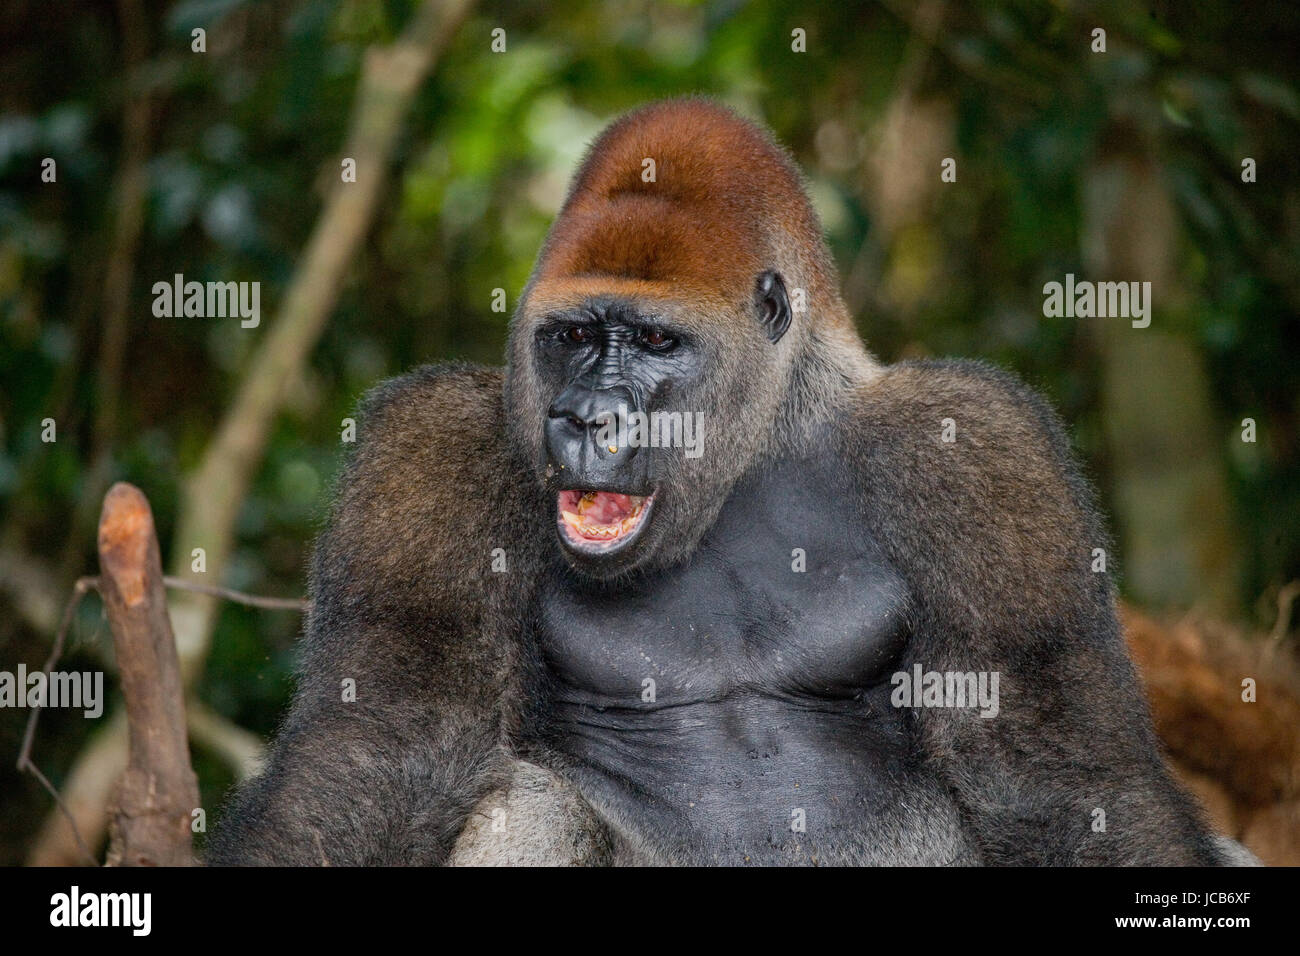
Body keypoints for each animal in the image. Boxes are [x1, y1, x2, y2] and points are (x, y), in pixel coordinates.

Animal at [208, 97, 1242, 868]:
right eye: (572, 336)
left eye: (654, 340)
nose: (586, 419)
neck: (758, 439)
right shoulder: (431, 446)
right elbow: (385, 748)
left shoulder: (983, 447)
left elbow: (1060, 776)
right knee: (531, 800)